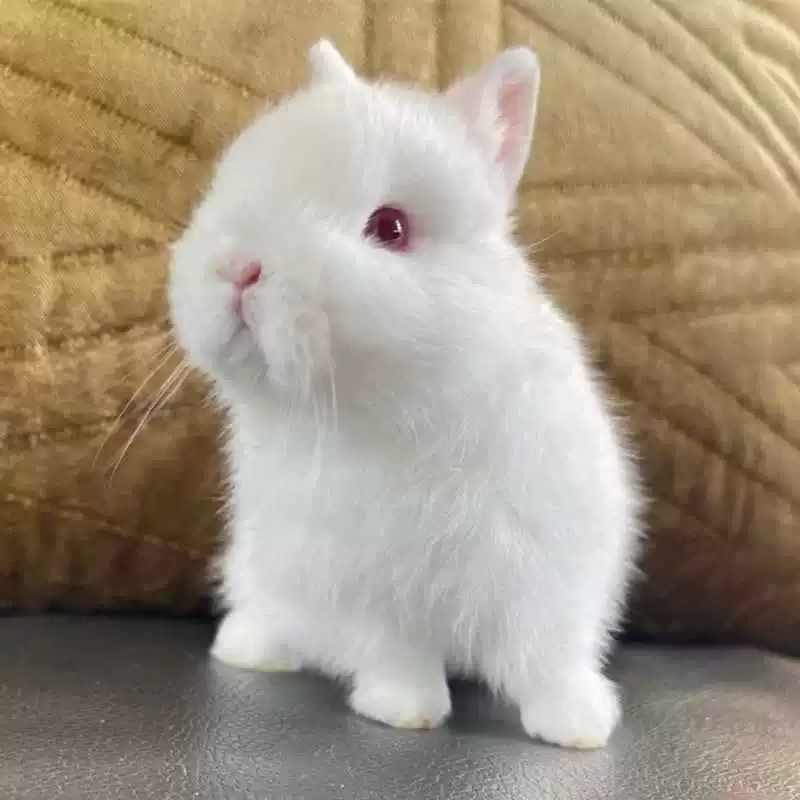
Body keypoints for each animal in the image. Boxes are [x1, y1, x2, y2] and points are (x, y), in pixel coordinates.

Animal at [169, 39, 642, 749]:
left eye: (391, 227)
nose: (240, 268)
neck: (397, 406)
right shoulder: (373, 589)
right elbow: (398, 654)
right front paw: (403, 711)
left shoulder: (549, 564)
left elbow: (547, 655)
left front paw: (579, 727)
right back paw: (247, 648)